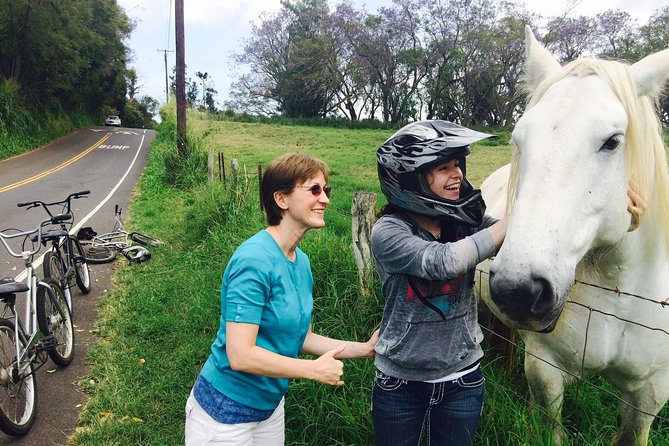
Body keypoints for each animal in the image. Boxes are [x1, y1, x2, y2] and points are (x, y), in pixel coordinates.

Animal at [478, 26, 668, 444]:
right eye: (519, 139)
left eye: (612, 140)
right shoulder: (545, 368)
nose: (519, 291)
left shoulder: (649, 391)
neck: (618, 294)